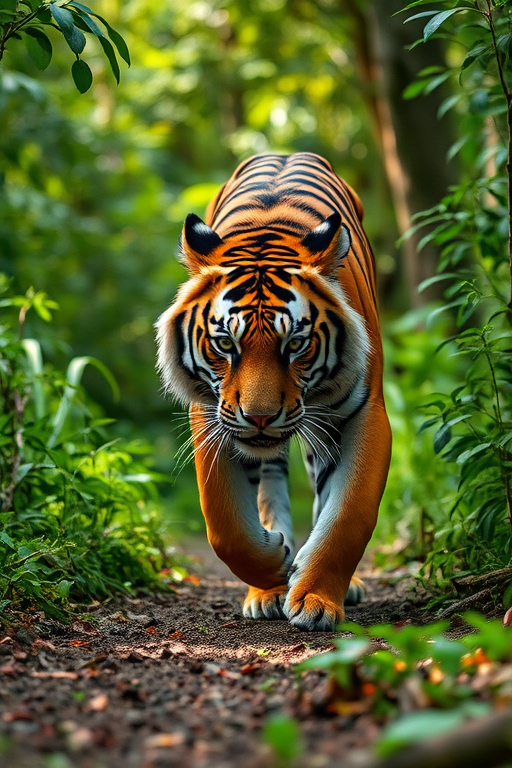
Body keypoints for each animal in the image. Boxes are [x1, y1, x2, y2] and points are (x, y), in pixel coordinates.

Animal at [157, 152, 391, 631]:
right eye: (225, 343)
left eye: (295, 344)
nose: (260, 417)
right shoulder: (211, 415)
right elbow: (225, 521)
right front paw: (274, 566)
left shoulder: (366, 414)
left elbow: (349, 513)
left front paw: (316, 598)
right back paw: (268, 590)